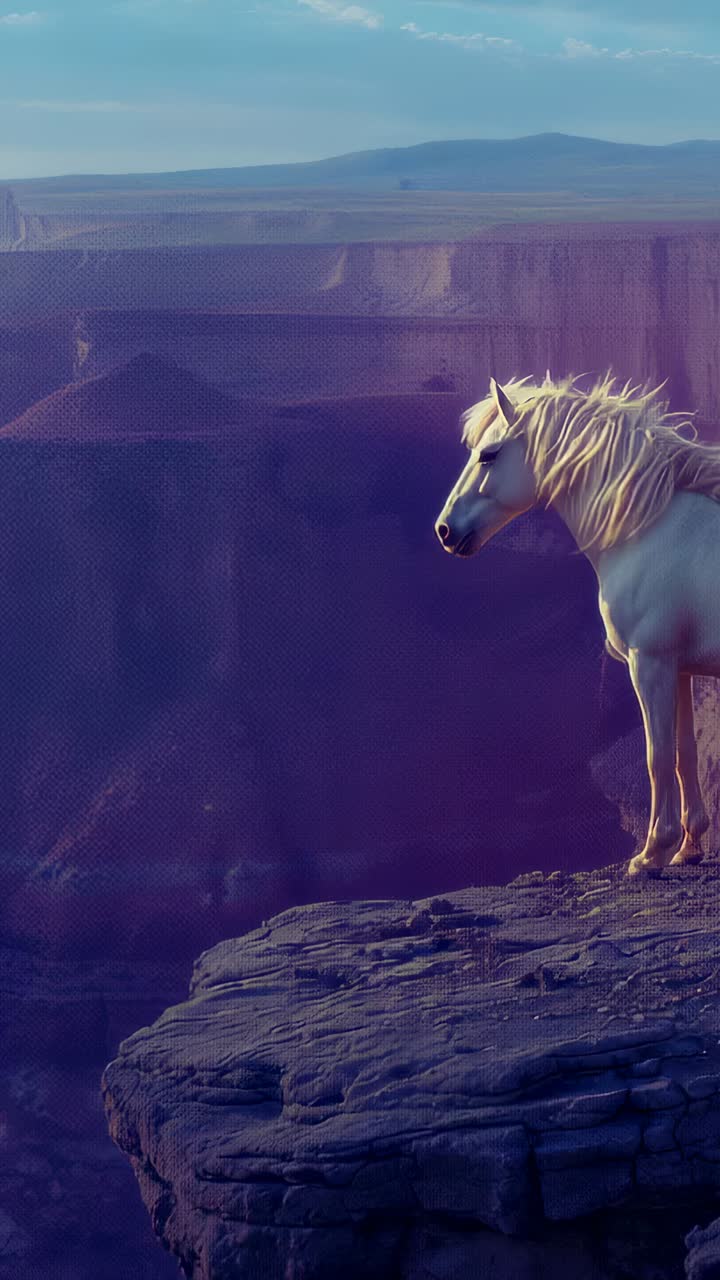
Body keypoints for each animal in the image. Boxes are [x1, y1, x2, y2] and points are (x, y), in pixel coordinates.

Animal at [435, 372, 720, 877]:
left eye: (488, 454)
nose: (445, 530)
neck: (652, 526)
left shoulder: (650, 665)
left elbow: (656, 757)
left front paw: (652, 852)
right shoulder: (680, 669)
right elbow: (684, 752)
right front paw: (688, 846)